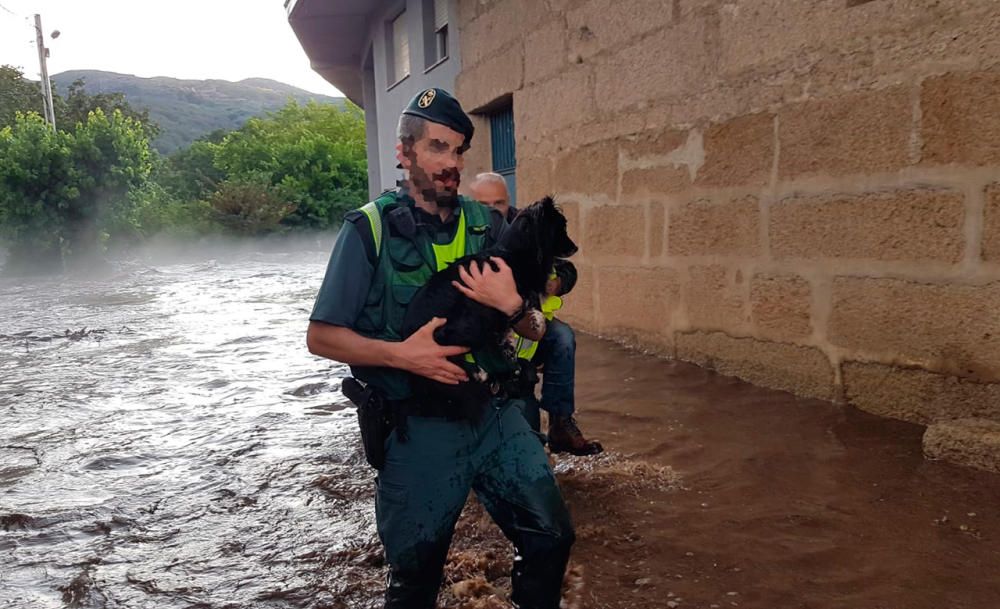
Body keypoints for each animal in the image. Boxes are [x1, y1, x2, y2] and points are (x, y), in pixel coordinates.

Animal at [400, 197, 580, 416]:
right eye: (561, 228)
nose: (575, 248)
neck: (514, 253)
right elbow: (531, 305)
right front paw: (534, 322)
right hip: (466, 320)